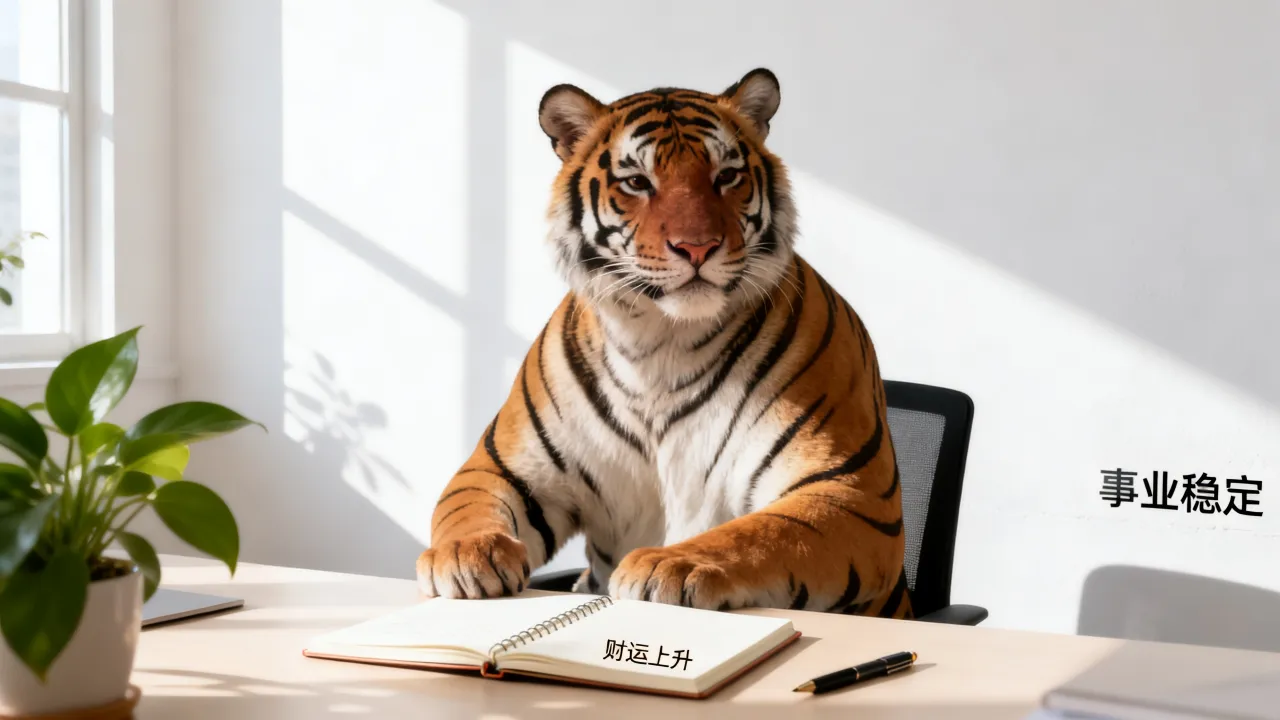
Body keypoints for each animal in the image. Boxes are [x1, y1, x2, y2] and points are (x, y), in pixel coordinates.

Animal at [414, 68, 912, 620]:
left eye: (726, 176)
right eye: (637, 182)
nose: (698, 247)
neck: (661, 341)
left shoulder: (847, 491)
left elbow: (759, 532)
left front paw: (669, 564)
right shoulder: (506, 467)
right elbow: (468, 507)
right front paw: (467, 554)